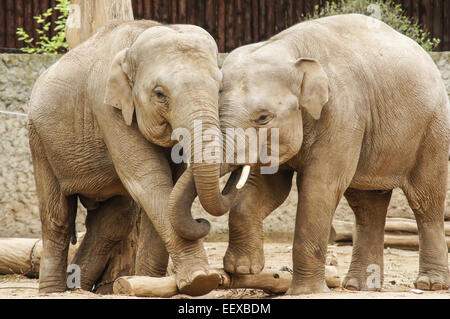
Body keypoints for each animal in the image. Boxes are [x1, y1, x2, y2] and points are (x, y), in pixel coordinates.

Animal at [27, 19, 232, 296]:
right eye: (160, 94)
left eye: (220, 89)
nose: (202, 221)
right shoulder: (107, 109)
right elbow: (149, 180)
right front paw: (201, 280)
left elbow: (167, 188)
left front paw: (149, 282)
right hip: (40, 140)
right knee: (57, 217)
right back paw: (53, 292)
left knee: (113, 220)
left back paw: (77, 288)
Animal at [174, 14, 448, 296]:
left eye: (263, 118)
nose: (201, 221)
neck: (290, 50)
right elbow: (270, 188)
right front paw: (242, 269)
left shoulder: (343, 115)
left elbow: (320, 188)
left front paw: (306, 292)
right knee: (367, 205)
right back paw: (359, 286)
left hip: (433, 129)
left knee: (425, 201)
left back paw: (429, 284)